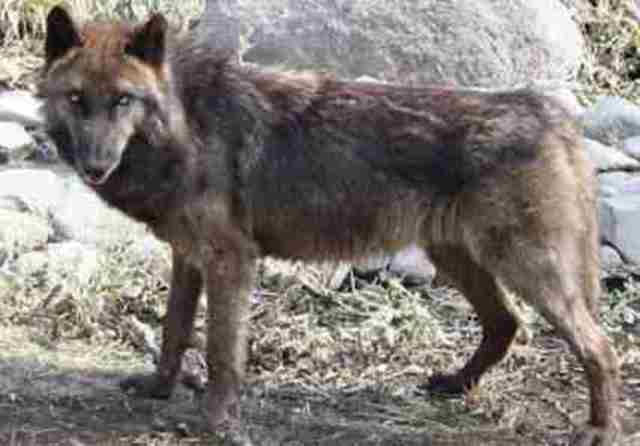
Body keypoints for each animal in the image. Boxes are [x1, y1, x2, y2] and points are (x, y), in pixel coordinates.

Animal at [41, 6, 620, 445]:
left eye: (123, 100)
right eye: (76, 99)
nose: (95, 166)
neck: (187, 123)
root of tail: (552, 115)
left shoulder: (232, 262)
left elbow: (222, 354)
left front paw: (215, 423)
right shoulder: (187, 256)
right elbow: (173, 331)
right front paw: (159, 390)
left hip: (528, 271)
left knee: (599, 346)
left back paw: (598, 429)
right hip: (459, 260)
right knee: (506, 324)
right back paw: (455, 385)